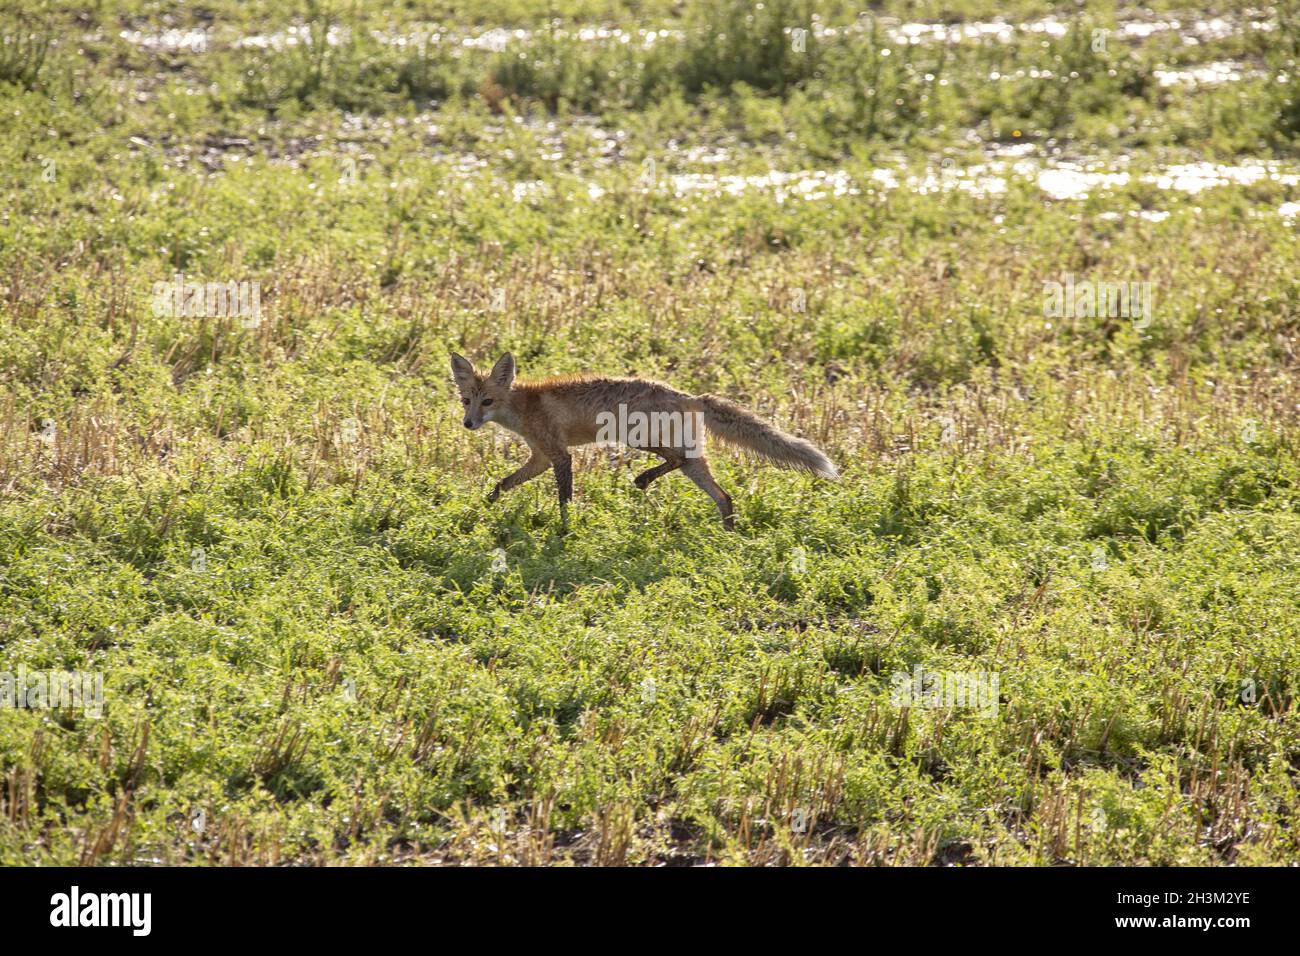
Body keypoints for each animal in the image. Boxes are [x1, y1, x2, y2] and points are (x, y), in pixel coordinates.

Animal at [452, 353, 837, 530]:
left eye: (487, 401)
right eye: (466, 401)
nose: (468, 424)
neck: (523, 407)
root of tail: (691, 396)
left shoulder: (560, 457)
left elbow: (564, 500)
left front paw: (564, 529)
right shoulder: (540, 457)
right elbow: (502, 484)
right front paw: (483, 507)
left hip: (641, 440)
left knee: (675, 461)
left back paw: (643, 480)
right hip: (694, 462)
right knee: (724, 496)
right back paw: (729, 536)